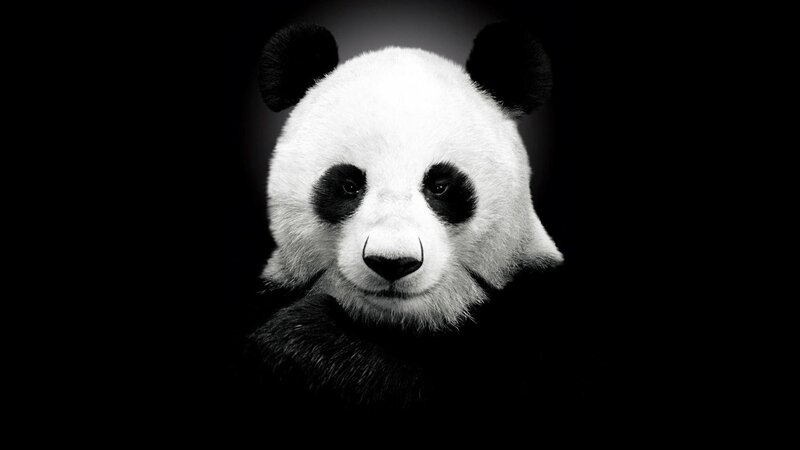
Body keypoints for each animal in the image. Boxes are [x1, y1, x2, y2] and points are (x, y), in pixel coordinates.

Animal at [242, 22, 568, 417]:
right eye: (349, 185)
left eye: (440, 186)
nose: (393, 263)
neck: (399, 324)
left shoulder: (534, 313)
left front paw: (303, 340)